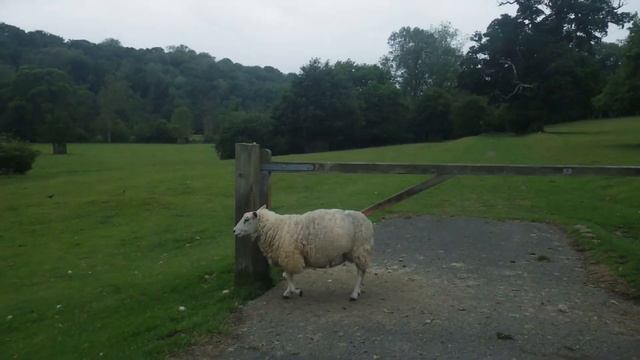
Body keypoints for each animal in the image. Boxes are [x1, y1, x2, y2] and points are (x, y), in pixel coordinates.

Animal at [234, 205, 376, 300]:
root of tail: (367, 220)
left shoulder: (290, 256)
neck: (275, 228)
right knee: (362, 272)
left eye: (246, 219)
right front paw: (288, 292)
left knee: (360, 273)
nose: (234, 231)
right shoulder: (288, 257)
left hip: (360, 250)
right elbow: (288, 275)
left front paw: (296, 291)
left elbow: (288, 275)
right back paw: (358, 290)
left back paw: (354, 293)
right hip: (357, 252)